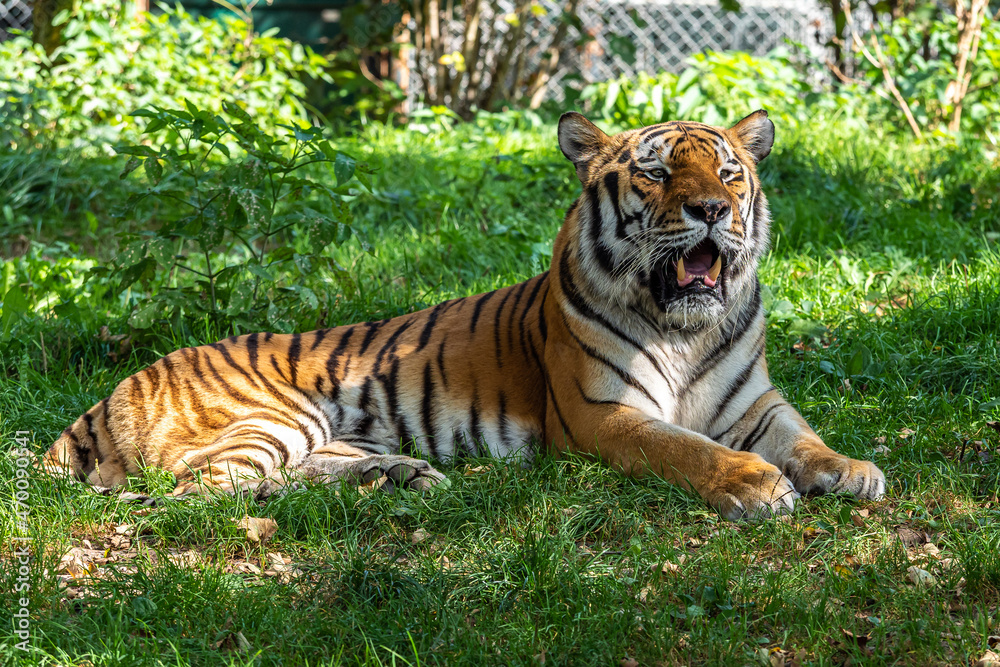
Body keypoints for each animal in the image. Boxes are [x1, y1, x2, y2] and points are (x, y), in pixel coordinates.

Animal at [45, 110, 886, 520]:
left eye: (729, 172)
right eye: (655, 172)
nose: (711, 208)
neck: (685, 325)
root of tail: (117, 386)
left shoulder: (755, 401)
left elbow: (804, 437)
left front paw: (852, 470)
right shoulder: (604, 413)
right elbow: (685, 449)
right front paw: (754, 483)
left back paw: (398, 476)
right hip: (270, 415)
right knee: (197, 491)